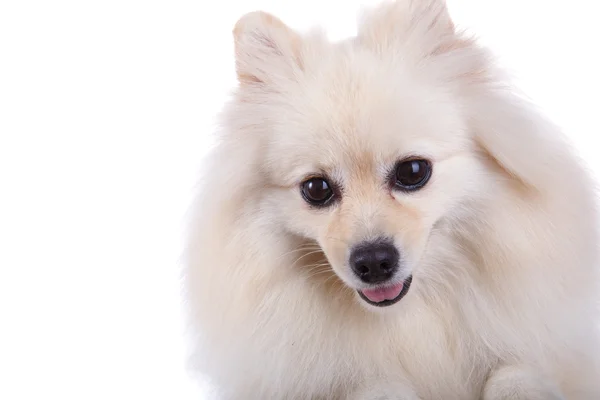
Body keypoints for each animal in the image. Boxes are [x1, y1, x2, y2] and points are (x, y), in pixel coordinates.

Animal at [183, 1, 600, 398]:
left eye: (412, 171)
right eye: (316, 189)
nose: (373, 262)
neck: (410, 316)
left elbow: (515, 373)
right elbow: (374, 387)